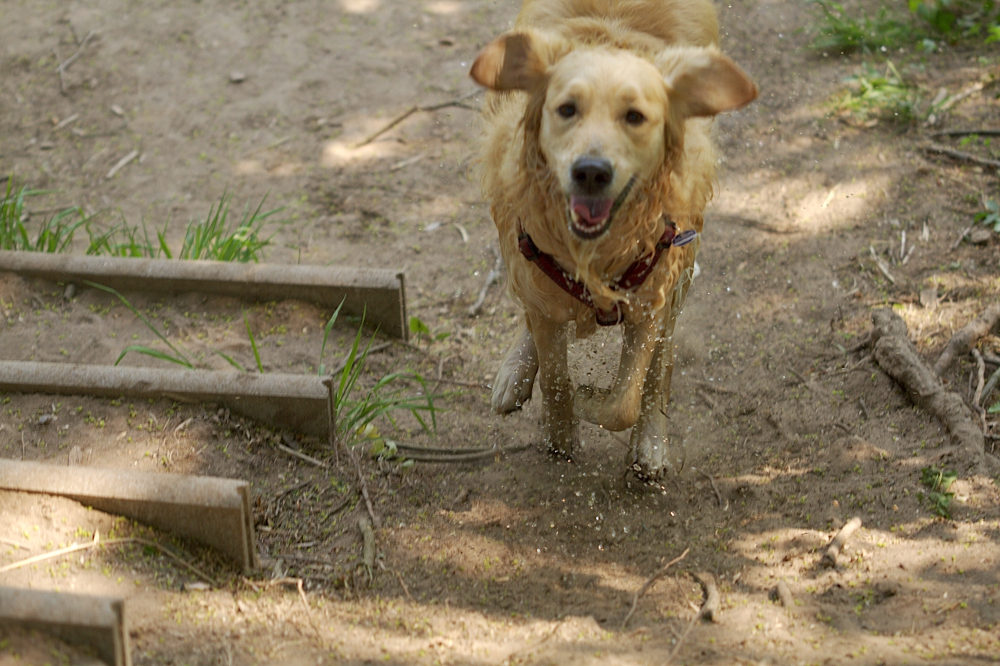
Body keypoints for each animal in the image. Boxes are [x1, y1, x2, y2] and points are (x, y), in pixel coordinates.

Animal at [472, 0, 752, 478]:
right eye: (567, 110)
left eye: (634, 117)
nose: (590, 171)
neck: (595, 252)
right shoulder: (535, 266)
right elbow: (555, 372)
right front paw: (561, 430)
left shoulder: (653, 294)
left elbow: (626, 399)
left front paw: (593, 404)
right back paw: (516, 372)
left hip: (683, 267)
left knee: (662, 364)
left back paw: (650, 441)